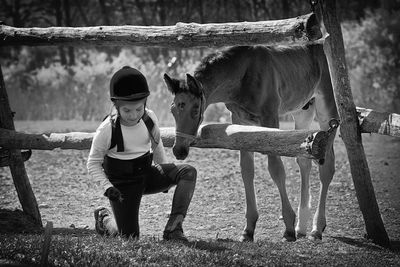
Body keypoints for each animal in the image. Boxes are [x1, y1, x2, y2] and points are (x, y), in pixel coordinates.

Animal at [164, 44, 340, 243]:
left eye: (195, 109)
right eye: (173, 109)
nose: (179, 150)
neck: (243, 75)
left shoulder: (270, 117)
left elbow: (276, 169)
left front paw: (288, 227)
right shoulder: (240, 119)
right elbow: (247, 170)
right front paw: (248, 229)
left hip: (326, 109)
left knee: (327, 166)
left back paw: (316, 228)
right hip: (303, 112)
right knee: (304, 161)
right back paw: (302, 226)